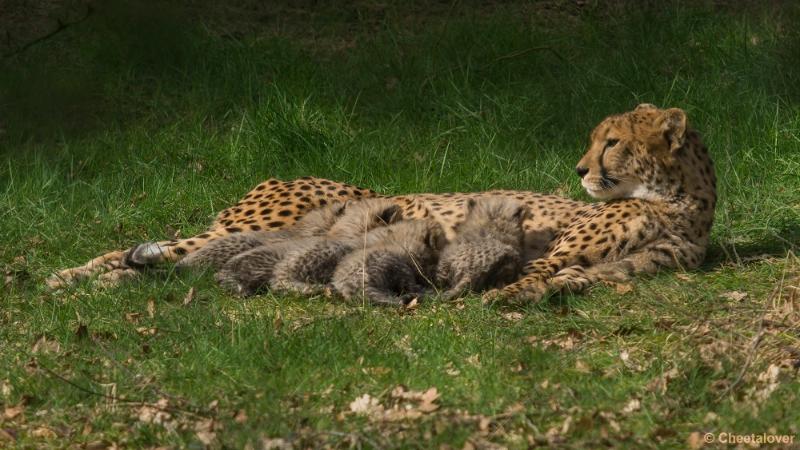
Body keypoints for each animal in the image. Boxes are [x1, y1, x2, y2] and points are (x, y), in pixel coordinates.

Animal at [47, 104, 716, 302]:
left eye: (613, 142)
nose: (580, 170)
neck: (679, 200)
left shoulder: (627, 267)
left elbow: (572, 279)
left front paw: (524, 296)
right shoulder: (553, 248)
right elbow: (538, 270)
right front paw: (504, 295)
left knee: (161, 255)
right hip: (267, 221)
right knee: (151, 248)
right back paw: (70, 278)